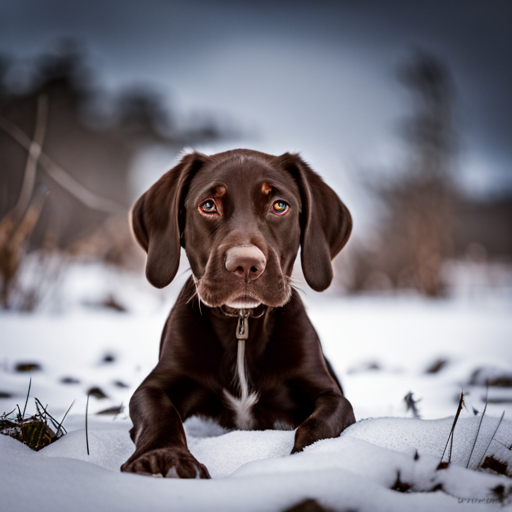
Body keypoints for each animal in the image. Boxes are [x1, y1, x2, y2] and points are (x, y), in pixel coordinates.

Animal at [121, 149, 356, 480]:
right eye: (208, 205)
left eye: (279, 206)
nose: (245, 264)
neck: (241, 324)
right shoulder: (154, 386)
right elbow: (160, 414)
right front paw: (162, 457)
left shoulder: (331, 394)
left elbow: (320, 423)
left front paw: (302, 460)